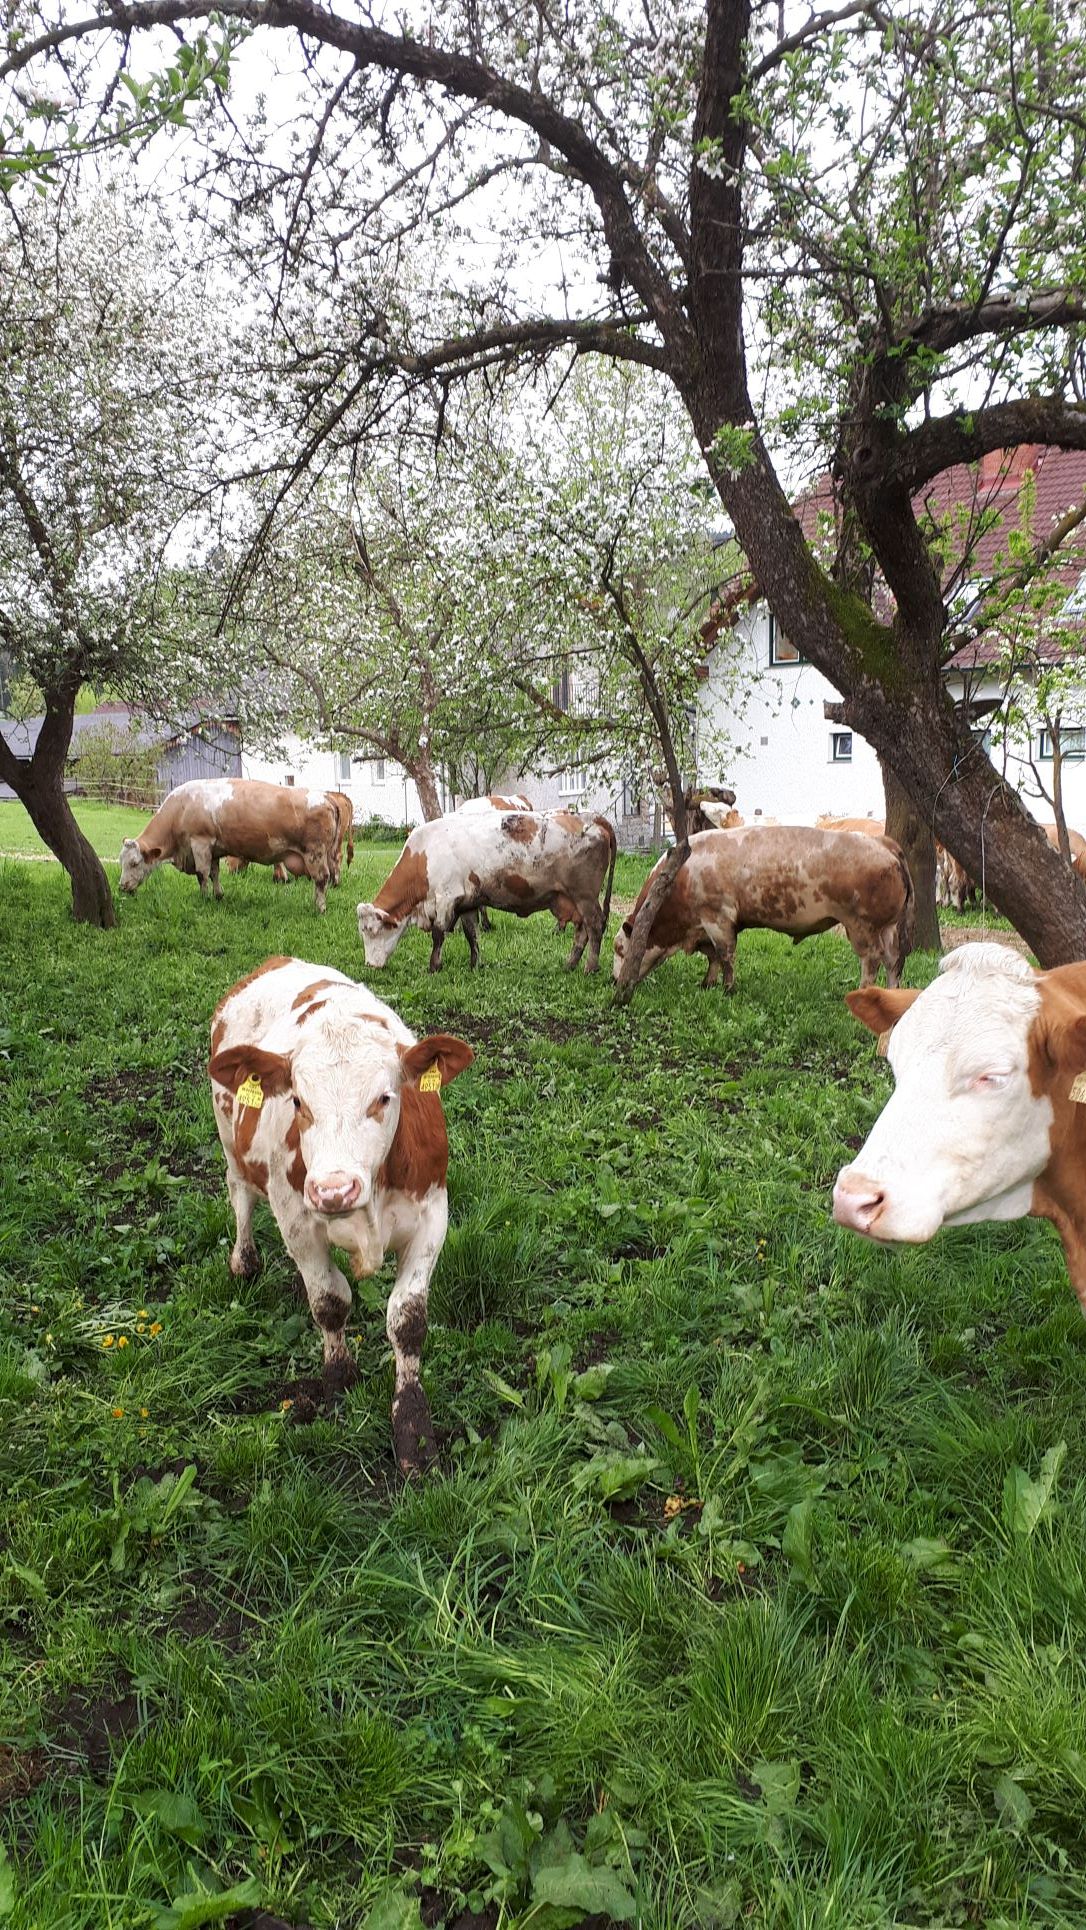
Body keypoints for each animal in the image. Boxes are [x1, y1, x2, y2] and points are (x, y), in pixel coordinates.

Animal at [120, 779, 339, 913]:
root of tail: (327, 797)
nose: (122, 886)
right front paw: (218, 895)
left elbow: (202, 874)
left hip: (315, 853)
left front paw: (204, 898)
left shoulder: (200, 843)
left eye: (134, 863)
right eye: (120, 861)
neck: (181, 808)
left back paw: (320, 908)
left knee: (321, 879)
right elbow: (214, 873)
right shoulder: (214, 849)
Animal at [208, 956, 473, 1471]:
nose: (333, 1189)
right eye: (297, 1101)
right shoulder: (296, 1220)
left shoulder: (433, 1215)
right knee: (241, 1195)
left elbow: (407, 1320)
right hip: (229, 1137)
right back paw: (244, 1262)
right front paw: (338, 1378)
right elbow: (329, 1302)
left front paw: (413, 1429)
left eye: (385, 1097)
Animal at [357, 808, 618, 973]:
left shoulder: (445, 898)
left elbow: (439, 933)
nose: (369, 965)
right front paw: (475, 964)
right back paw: (570, 964)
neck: (424, 854)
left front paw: (434, 966)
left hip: (584, 897)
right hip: (575, 901)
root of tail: (591, 817)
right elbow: (471, 934)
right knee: (582, 931)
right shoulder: (467, 902)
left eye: (371, 931)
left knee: (594, 926)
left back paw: (589, 968)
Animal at [613, 825, 913, 992]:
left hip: (862, 926)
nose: (614, 981)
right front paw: (707, 984)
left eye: (619, 949)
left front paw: (728, 988)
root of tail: (882, 841)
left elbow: (725, 955)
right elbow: (712, 956)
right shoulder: (704, 927)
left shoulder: (718, 919)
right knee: (893, 960)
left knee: (872, 960)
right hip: (886, 928)